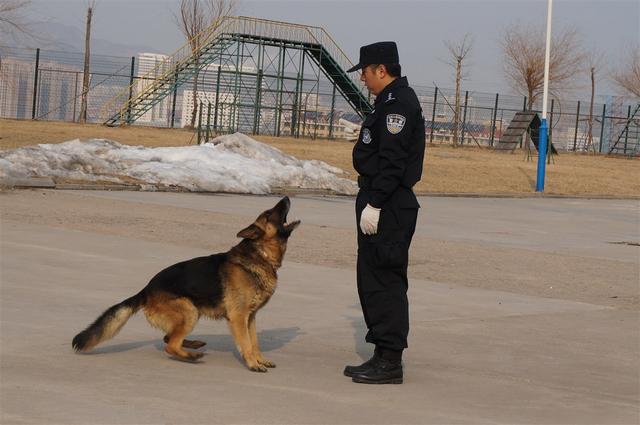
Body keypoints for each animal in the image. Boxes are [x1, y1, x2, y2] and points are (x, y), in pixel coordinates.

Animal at [71, 196, 302, 372]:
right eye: (269, 214)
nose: (286, 197)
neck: (260, 254)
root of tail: (146, 290)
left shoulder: (251, 317)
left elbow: (254, 342)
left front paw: (260, 360)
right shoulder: (238, 317)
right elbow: (245, 343)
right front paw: (253, 365)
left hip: (189, 313)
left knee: (168, 337)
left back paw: (192, 345)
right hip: (190, 311)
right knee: (170, 344)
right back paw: (191, 355)